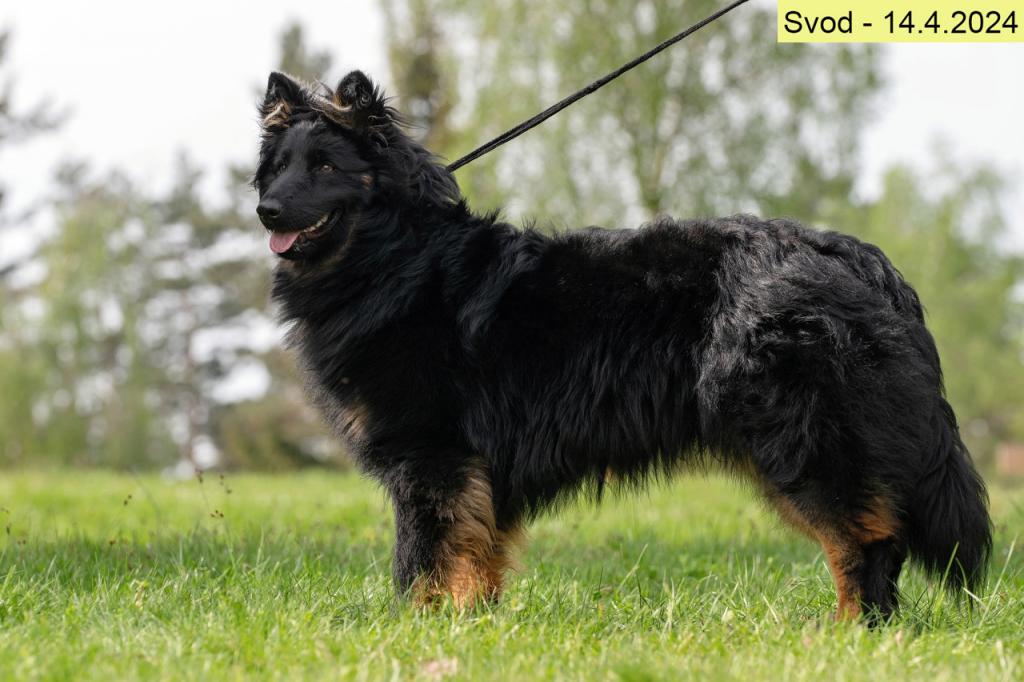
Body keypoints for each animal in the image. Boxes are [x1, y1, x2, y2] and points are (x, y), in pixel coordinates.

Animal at [253, 70, 991, 623]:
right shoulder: (475, 473)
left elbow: (424, 559)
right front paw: (474, 625)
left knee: (867, 540)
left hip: (800, 443)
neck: (397, 257)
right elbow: (476, 555)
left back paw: (850, 631)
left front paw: (418, 626)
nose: (265, 211)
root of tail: (857, 257)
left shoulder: (431, 458)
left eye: (325, 165)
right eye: (278, 168)